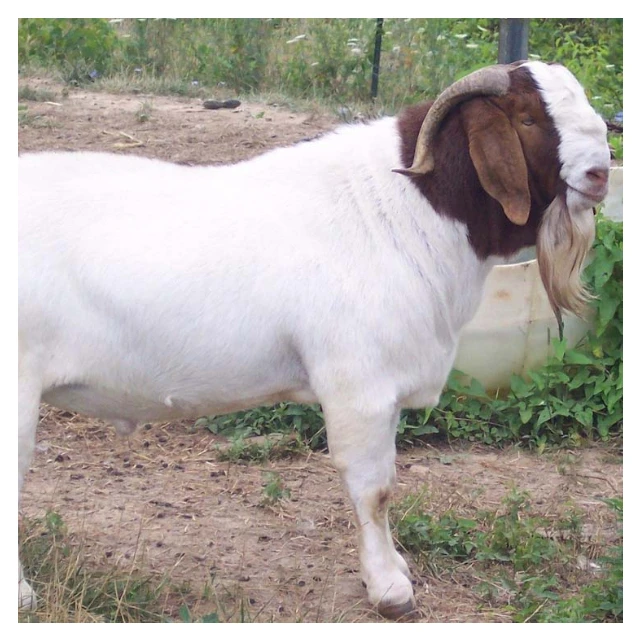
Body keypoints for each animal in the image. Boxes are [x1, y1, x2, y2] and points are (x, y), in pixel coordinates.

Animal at [18, 61, 610, 618]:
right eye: (528, 118)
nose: (601, 172)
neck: (400, 209)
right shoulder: (358, 387)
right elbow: (373, 490)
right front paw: (389, 590)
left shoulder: (384, 389)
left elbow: (388, 481)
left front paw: (395, 566)